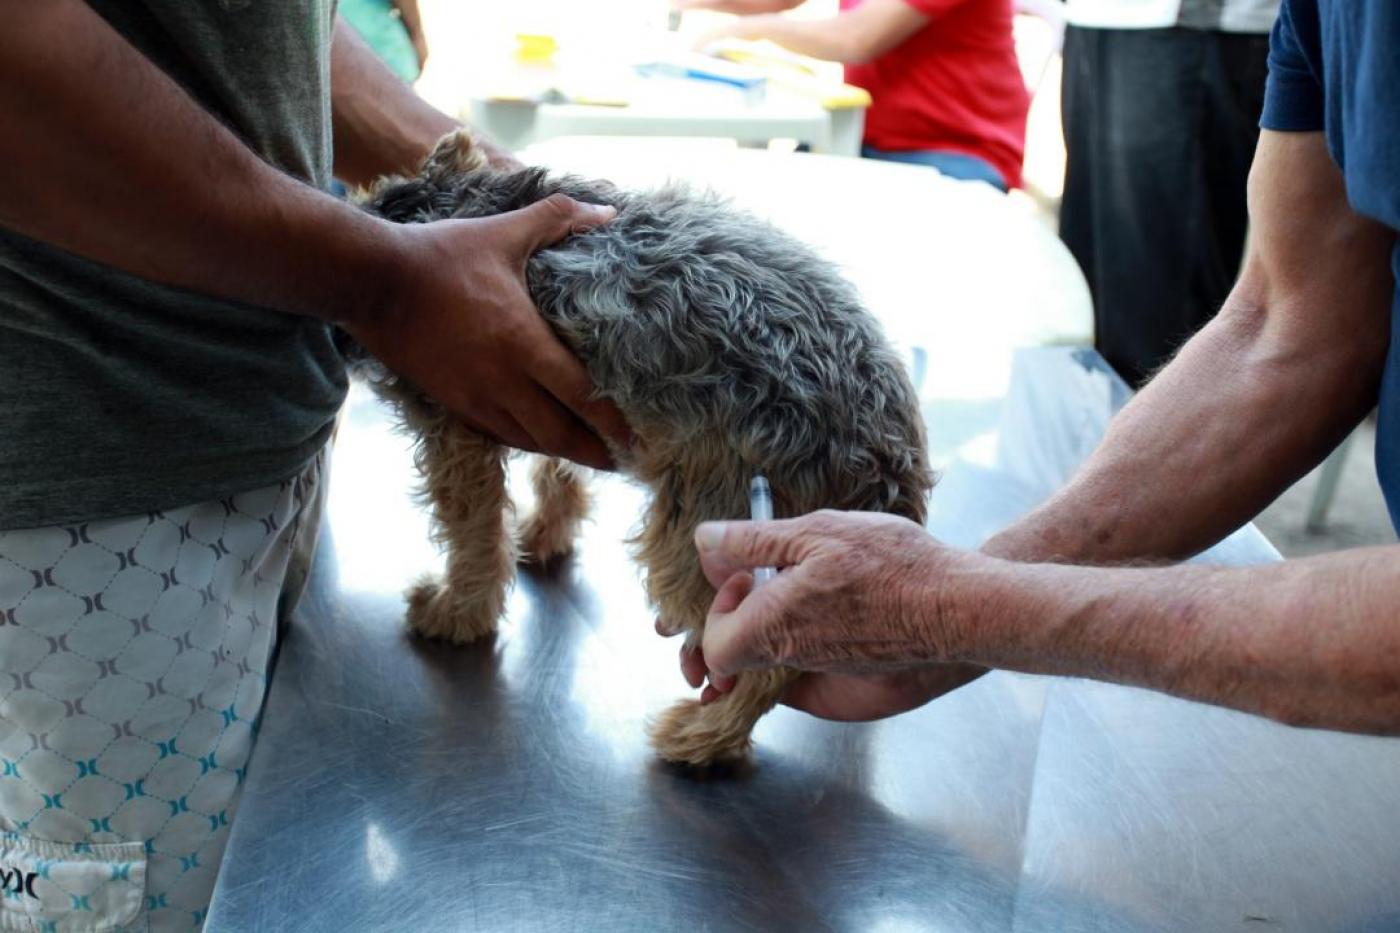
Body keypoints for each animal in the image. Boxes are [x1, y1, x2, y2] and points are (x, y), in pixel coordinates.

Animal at [355, 134, 935, 762]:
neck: (455, 202)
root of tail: (890, 463)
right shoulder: (548, 396)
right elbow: (556, 471)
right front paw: (545, 531)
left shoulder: (460, 415)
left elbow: (472, 532)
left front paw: (457, 611)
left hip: (715, 527)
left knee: (767, 654)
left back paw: (703, 735)